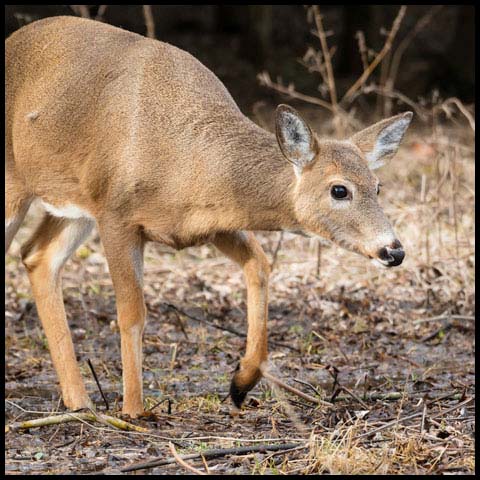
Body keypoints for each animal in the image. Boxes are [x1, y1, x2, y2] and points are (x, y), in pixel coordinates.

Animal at [4, 16, 412, 418]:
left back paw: (80, 402)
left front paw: (240, 383)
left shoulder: (212, 223)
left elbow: (260, 264)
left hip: (72, 201)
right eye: (339, 190)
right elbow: (132, 313)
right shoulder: (116, 214)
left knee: (37, 255)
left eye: (377, 186)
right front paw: (134, 412)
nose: (394, 250)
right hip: (19, 187)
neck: (191, 163)